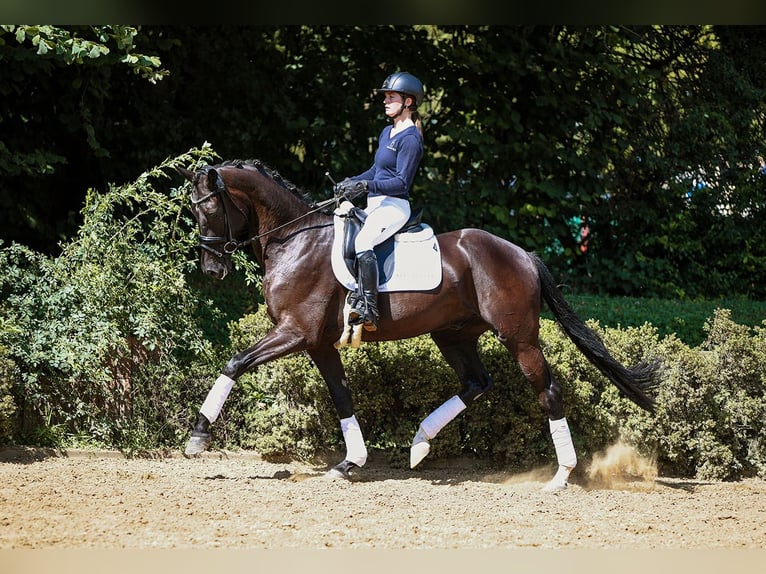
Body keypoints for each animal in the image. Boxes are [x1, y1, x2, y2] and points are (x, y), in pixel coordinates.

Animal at [177, 159, 658, 491]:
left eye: (210, 210)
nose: (212, 270)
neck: (295, 240)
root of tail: (522, 253)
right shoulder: (319, 343)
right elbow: (341, 395)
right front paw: (349, 463)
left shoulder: (295, 333)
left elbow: (235, 362)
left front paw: (197, 437)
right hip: (452, 334)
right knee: (477, 383)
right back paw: (419, 444)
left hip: (519, 338)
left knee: (547, 390)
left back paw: (560, 476)